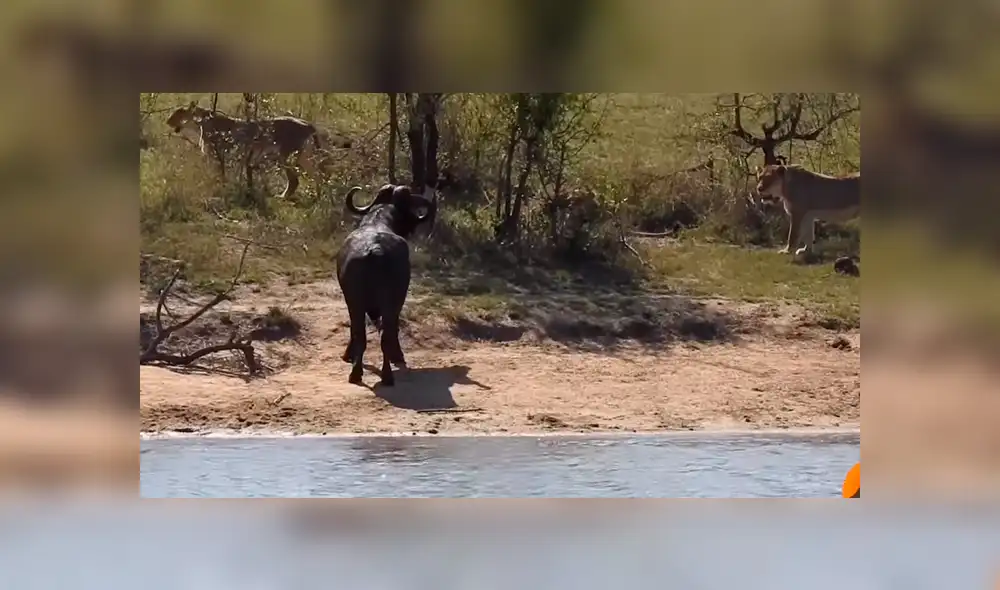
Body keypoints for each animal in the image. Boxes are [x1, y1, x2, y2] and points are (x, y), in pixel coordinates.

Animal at [165, 101, 352, 199]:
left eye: (178, 113)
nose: (167, 121)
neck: (199, 122)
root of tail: (307, 123)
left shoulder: (219, 155)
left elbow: (218, 174)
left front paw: (216, 187)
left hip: (285, 156)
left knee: (295, 180)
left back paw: (282, 197)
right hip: (302, 157)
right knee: (319, 175)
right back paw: (318, 197)